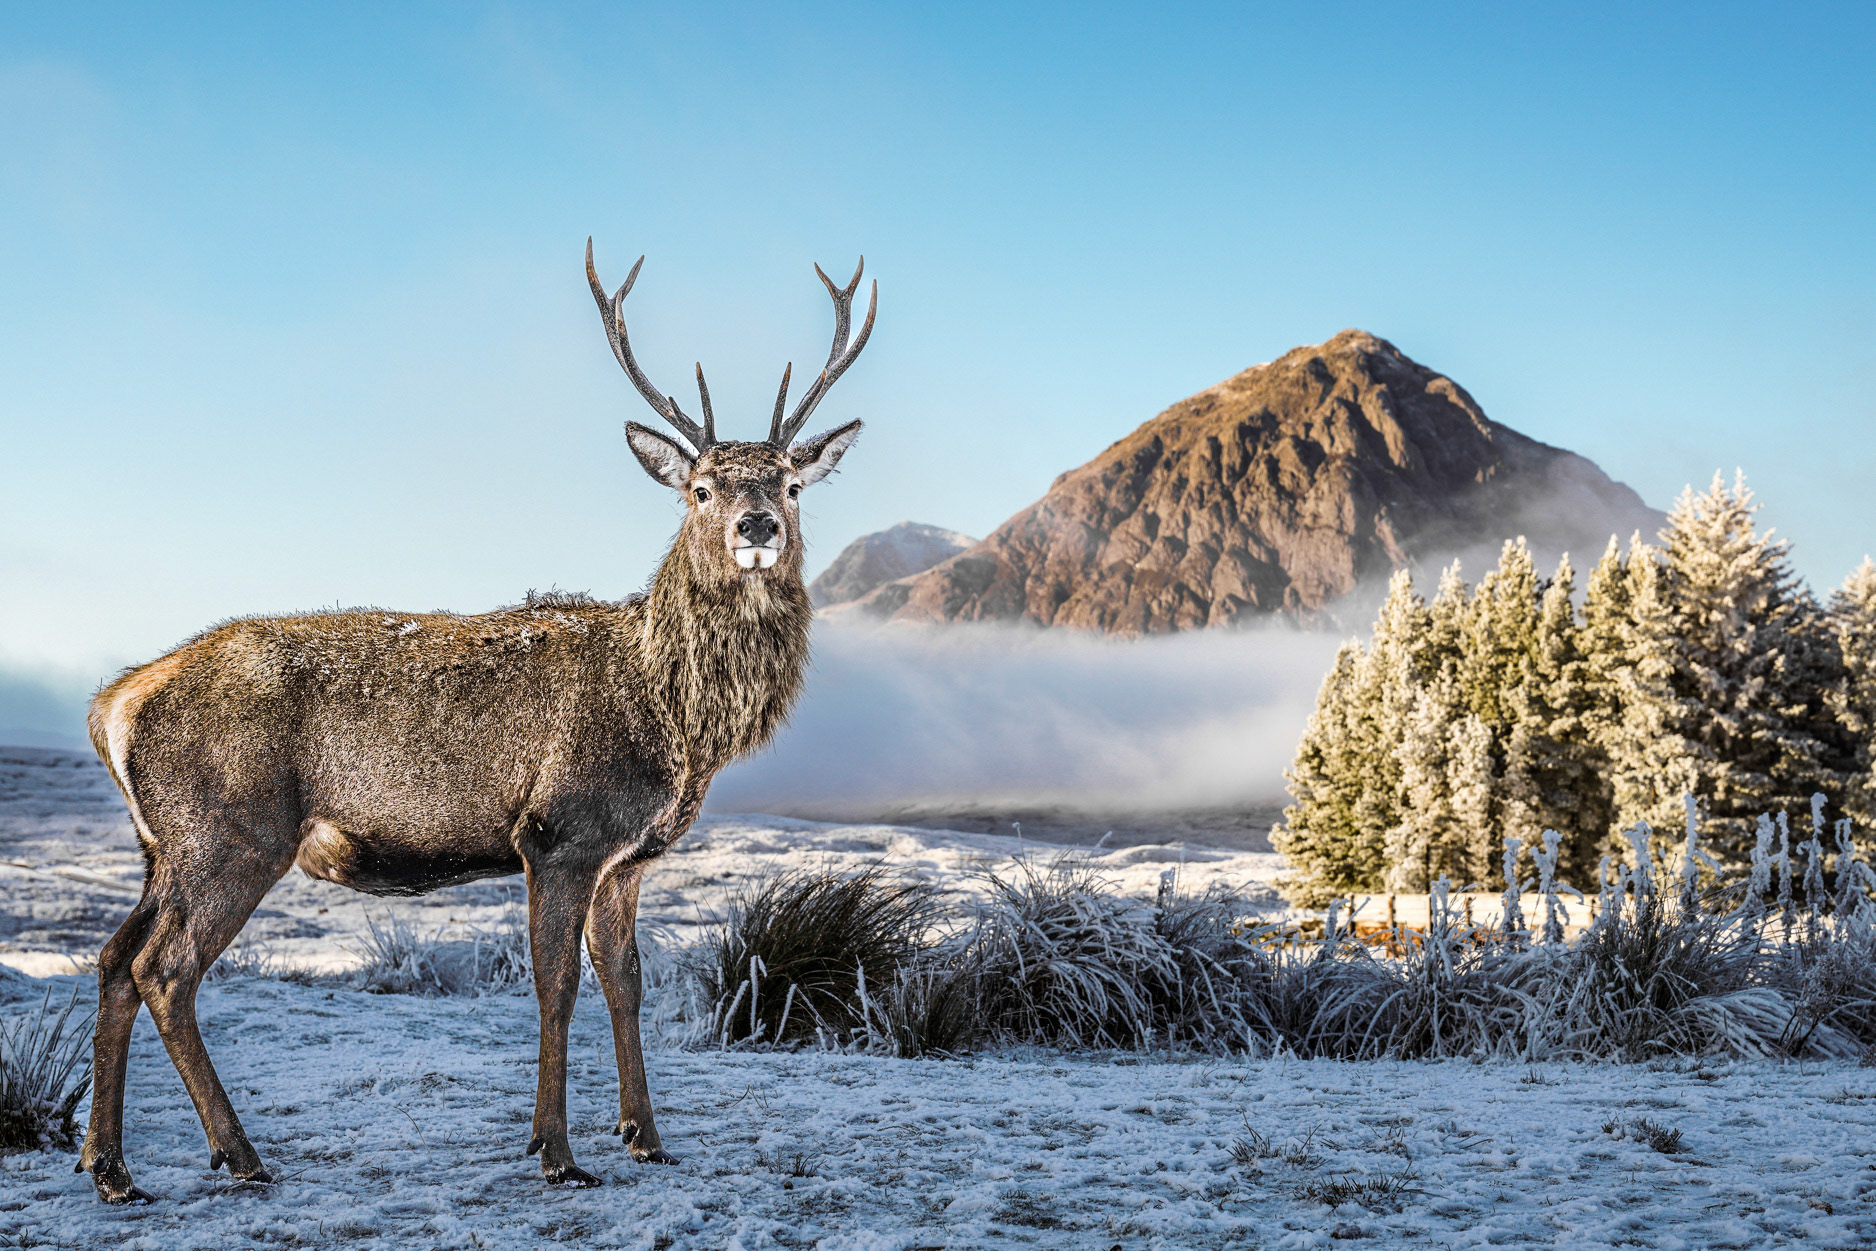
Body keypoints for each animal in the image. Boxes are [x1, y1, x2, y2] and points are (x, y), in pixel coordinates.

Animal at [75, 240, 876, 1203]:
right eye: (699, 487)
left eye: (792, 482)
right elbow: (555, 986)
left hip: (164, 846)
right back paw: (239, 1152)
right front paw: (556, 1151)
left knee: (113, 960)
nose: (757, 525)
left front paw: (646, 1136)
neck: (672, 713)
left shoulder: (627, 856)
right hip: (232, 828)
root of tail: (114, 704)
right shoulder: (559, 830)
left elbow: (627, 983)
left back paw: (109, 1164)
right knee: (164, 969)